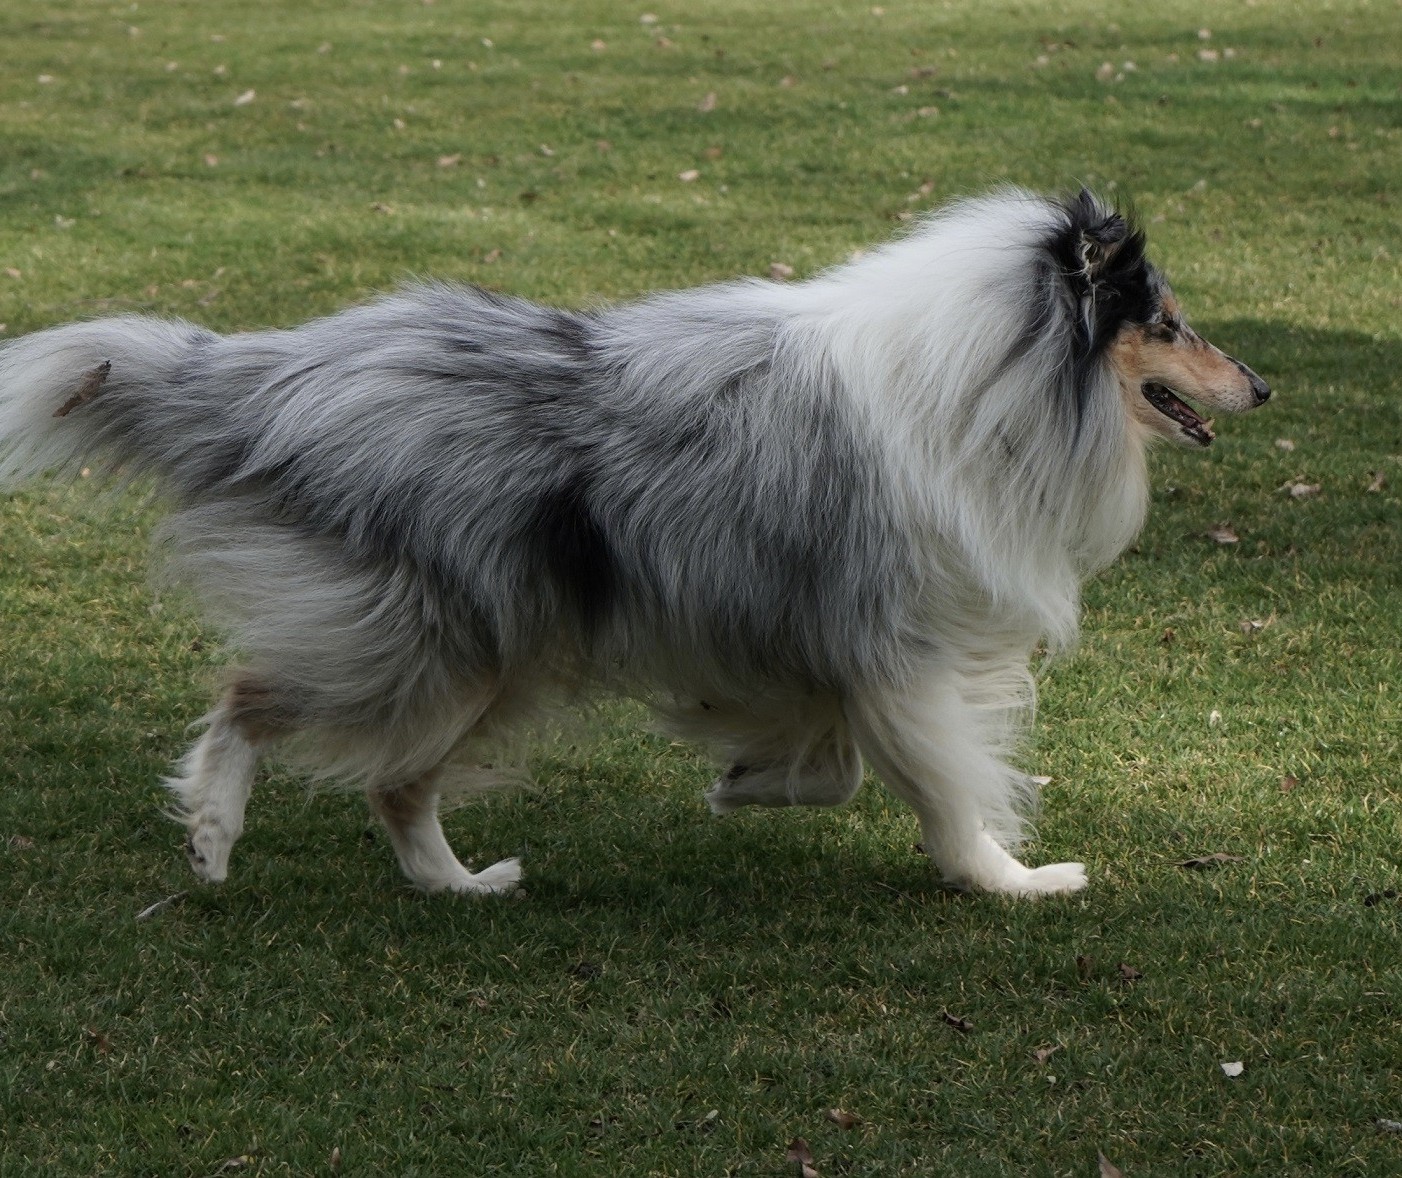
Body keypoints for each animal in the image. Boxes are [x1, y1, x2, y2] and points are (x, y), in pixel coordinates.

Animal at [0, 189, 1273, 897]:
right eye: (1166, 324)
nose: (1260, 383)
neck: (995, 379)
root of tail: (285, 376)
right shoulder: (900, 645)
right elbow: (947, 790)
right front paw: (1017, 879)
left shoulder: (822, 638)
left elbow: (836, 758)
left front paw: (748, 777)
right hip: (437, 644)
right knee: (256, 701)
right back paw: (214, 835)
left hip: (494, 652)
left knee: (395, 786)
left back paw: (462, 885)